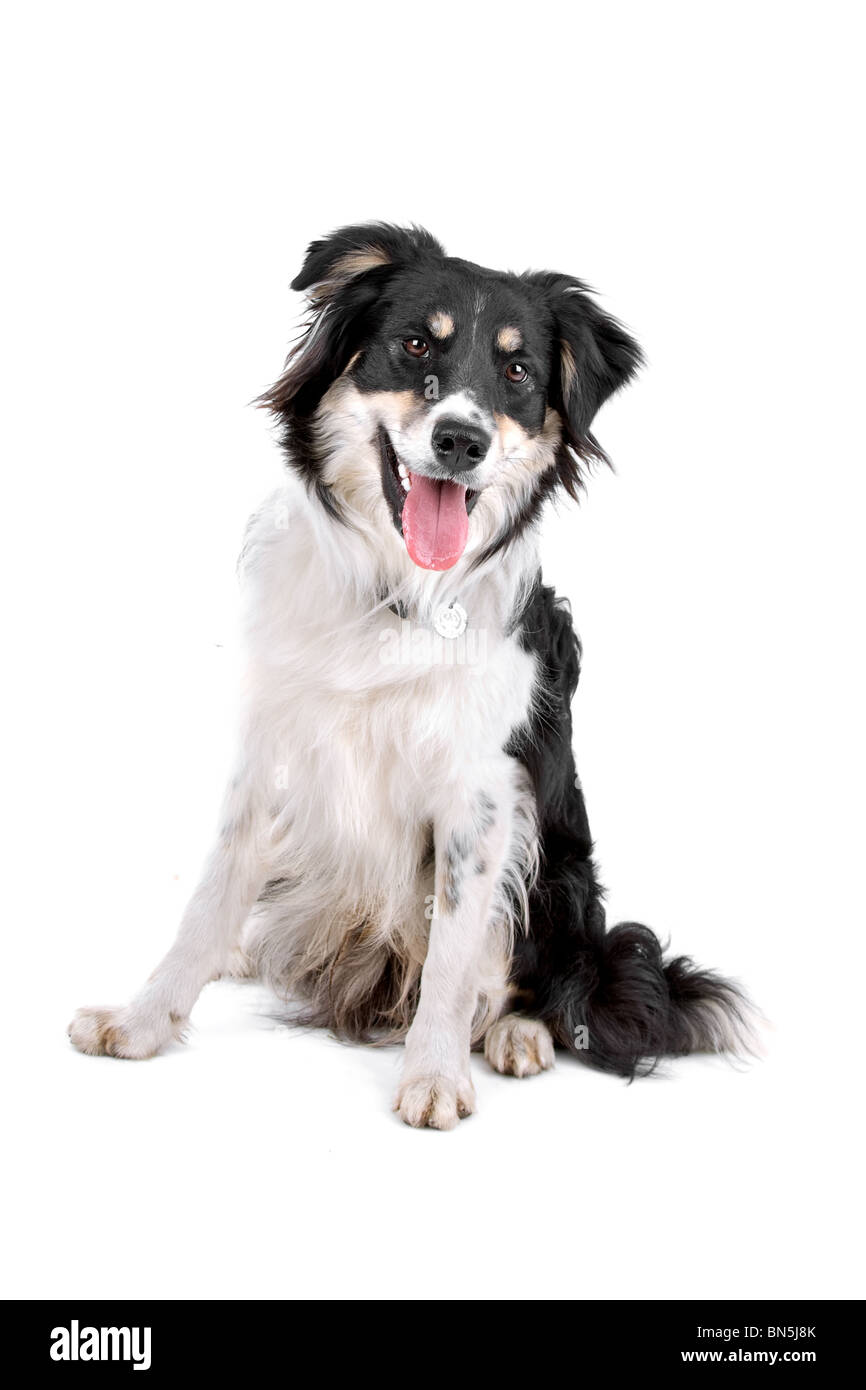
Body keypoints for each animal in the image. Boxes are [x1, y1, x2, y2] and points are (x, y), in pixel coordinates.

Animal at [71, 222, 756, 1123]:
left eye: (517, 372)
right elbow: (210, 897)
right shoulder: (271, 749)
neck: (395, 595)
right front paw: (145, 1021)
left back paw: (516, 1033)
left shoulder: (484, 794)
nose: (461, 441)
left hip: (560, 867)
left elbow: (455, 950)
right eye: (415, 344)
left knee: (540, 974)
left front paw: (433, 1073)